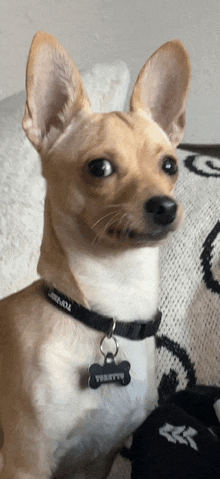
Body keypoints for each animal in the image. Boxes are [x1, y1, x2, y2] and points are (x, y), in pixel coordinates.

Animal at [0, 31, 190, 478]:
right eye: (99, 168)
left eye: (170, 166)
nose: (165, 206)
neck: (109, 311)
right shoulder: (25, 461)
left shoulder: (100, 455)